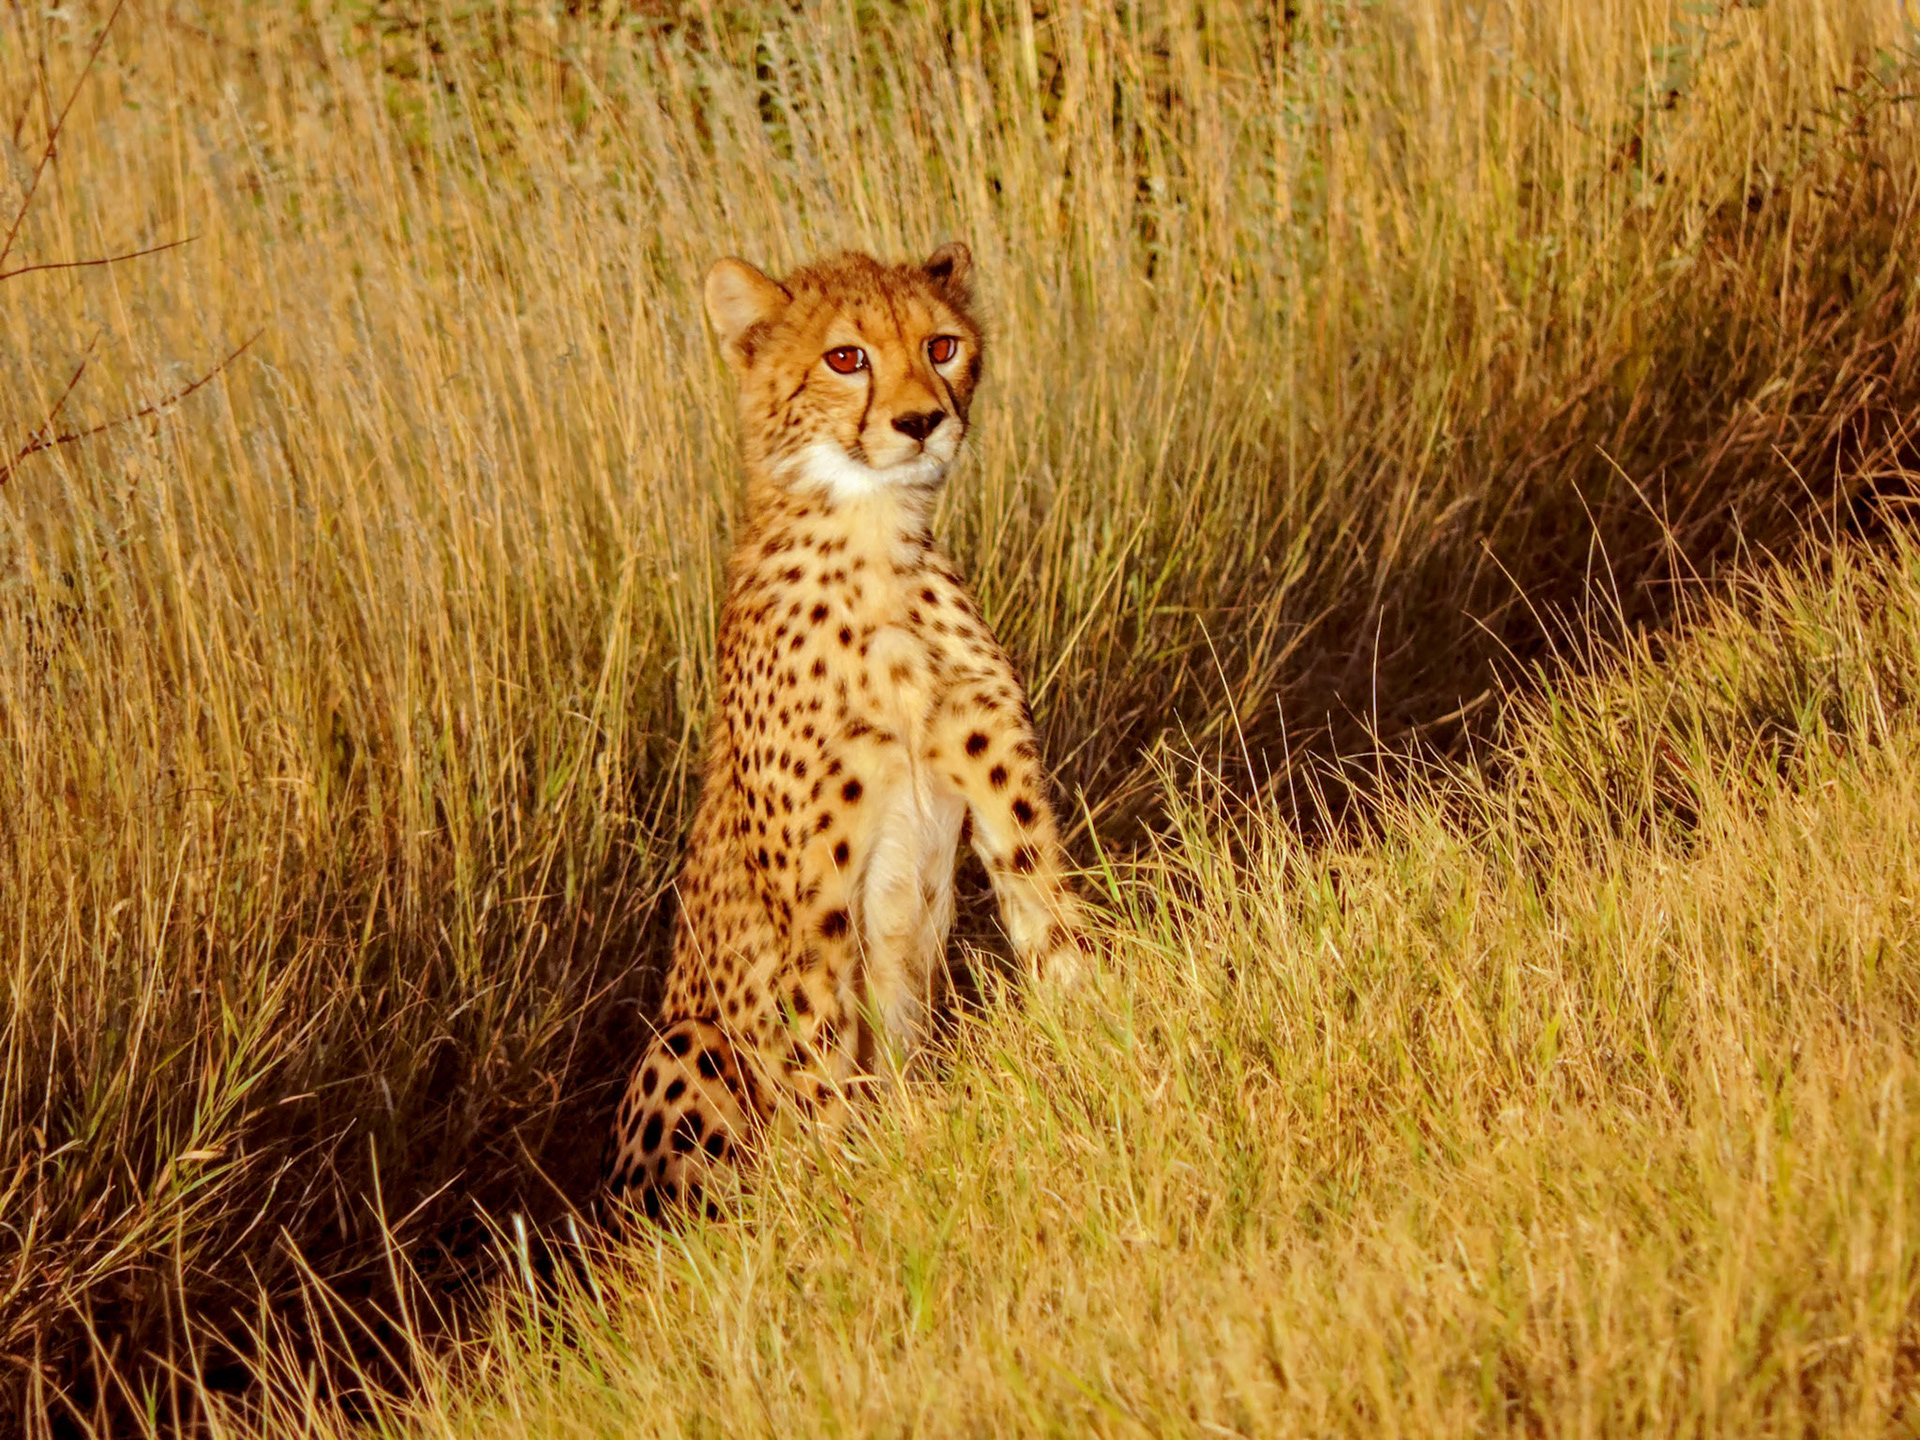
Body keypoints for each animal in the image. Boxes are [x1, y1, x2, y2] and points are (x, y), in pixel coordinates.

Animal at [603, 242, 1092, 1225]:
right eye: (844, 358)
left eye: (942, 345)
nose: (921, 422)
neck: (872, 542)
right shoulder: (811, 902)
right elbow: (821, 1049)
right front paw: (849, 1192)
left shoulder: (1005, 798)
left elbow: (1054, 927)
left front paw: (1106, 1041)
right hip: (684, 1043)